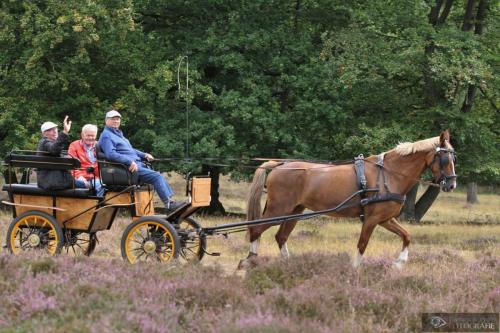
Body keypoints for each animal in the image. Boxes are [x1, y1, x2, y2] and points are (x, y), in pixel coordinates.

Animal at [238, 128, 458, 268]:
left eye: (454, 157)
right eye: (444, 158)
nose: (451, 184)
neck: (389, 174)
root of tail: (280, 165)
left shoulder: (385, 219)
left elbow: (406, 236)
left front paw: (399, 263)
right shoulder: (371, 220)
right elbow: (362, 245)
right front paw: (354, 271)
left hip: (294, 212)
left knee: (280, 236)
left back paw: (288, 265)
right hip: (278, 210)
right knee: (256, 229)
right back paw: (250, 260)